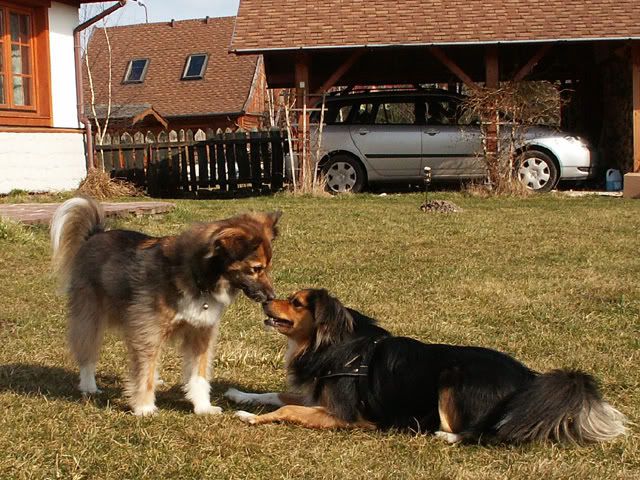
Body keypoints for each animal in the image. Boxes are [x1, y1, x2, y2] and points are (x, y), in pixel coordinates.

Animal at [51, 196, 281, 416]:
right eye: (255, 269)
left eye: (268, 267)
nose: (272, 297)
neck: (198, 278)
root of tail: (95, 234)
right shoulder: (148, 331)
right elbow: (144, 373)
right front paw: (144, 408)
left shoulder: (201, 332)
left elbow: (199, 374)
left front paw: (203, 407)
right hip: (90, 316)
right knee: (87, 352)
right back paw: (89, 386)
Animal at [225, 289, 627, 444]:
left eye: (295, 302)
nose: (263, 300)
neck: (330, 343)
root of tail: (530, 381)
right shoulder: (317, 396)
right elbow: (275, 394)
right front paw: (238, 395)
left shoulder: (341, 415)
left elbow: (287, 408)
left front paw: (249, 419)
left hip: (452, 379)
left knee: (482, 432)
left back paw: (444, 435)